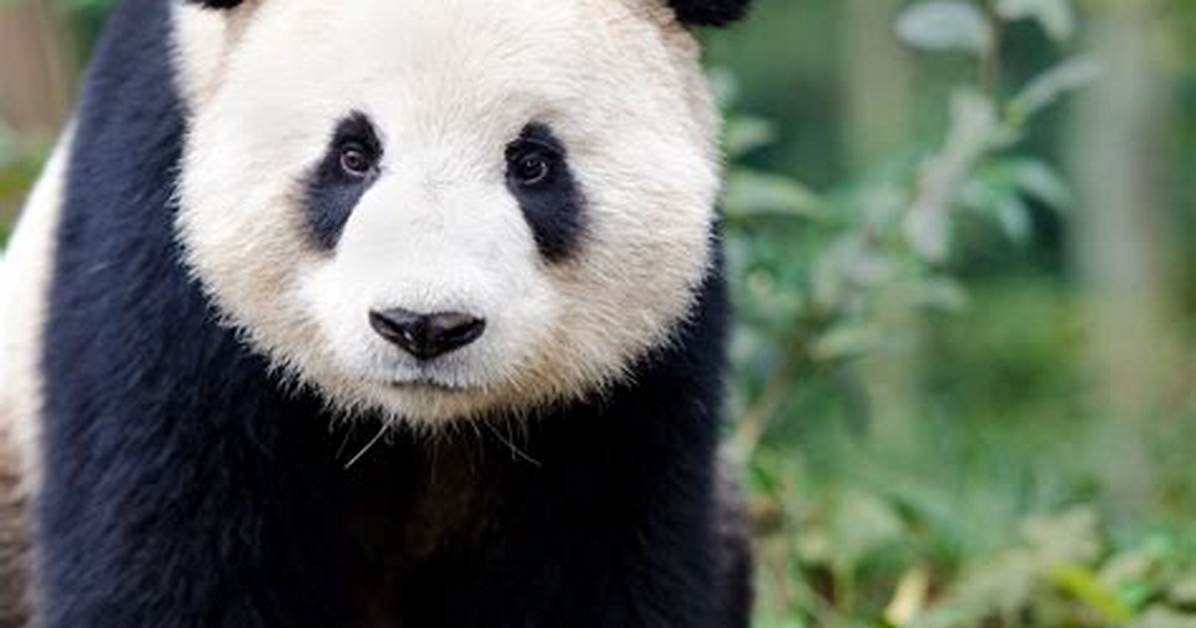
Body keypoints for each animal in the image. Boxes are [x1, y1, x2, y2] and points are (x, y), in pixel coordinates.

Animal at [0, 0, 755, 626]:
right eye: (354, 154)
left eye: (533, 163)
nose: (424, 327)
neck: (417, 425)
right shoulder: (157, 272)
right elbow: (162, 551)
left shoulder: (631, 393)